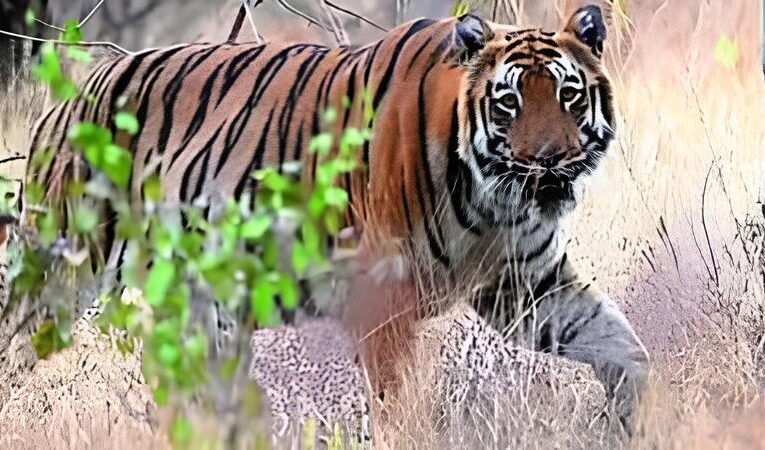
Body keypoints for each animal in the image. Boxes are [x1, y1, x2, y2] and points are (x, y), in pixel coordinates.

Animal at [23, 5, 648, 424]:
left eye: (568, 96)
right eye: (508, 102)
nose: (551, 159)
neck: (493, 201)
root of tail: (71, 96)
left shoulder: (525, 284)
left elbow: (621, 343)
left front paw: (632, 420)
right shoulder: (384, 295)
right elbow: (398, 403)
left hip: (204, 311)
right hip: (60, 271)